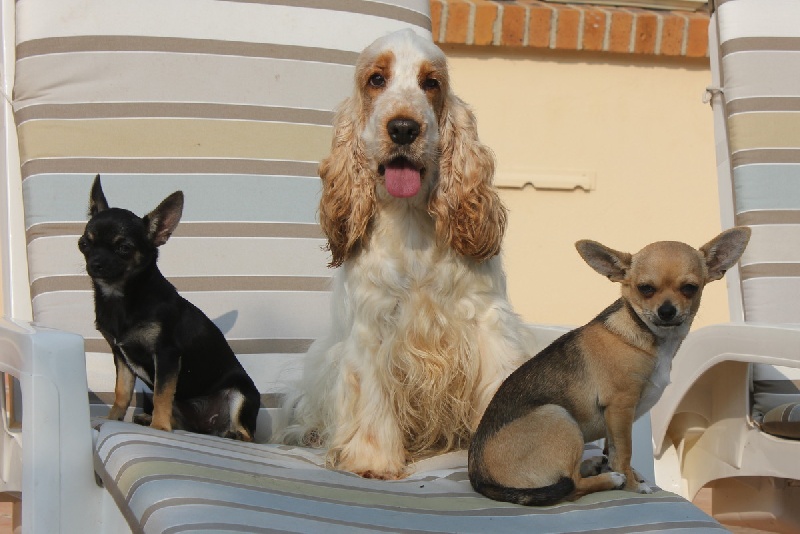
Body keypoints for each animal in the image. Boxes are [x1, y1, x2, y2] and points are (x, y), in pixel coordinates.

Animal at [79, 175, 261, 441]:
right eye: (83, 244)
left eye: (124, 248)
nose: (95, 263)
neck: (122, 297)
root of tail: (208, 427)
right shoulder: (121, 357)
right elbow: (122, 393)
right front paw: (112, 418)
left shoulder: (166, 355)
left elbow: (161, 394)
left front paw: (159, 427)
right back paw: (149, 418)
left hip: (241, 395)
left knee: (248, 433)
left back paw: (233, 434)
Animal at [278, 29, 536, 479]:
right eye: (376, 80)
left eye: (430, 83)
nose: (403, 128)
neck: (412, 220)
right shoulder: (372, 328)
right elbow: (371, 402)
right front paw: (372, 462)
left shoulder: (489, 321)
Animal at [468, 227, 751, 505]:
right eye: (645, 288)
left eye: (690, 288)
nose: (667, 311)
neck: (652, 338)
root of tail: (479, 477)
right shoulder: (620, 405)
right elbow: (623, 453)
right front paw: (632, 484)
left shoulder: (615, 418)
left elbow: (613, 449)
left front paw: (629, 474)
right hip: (559, 415)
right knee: (571, 486)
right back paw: (609, 479)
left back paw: (593, 465)